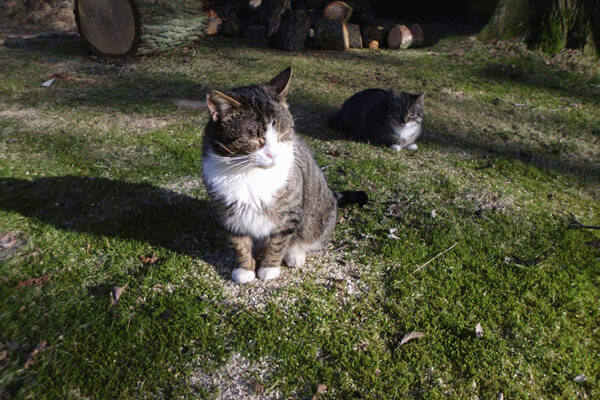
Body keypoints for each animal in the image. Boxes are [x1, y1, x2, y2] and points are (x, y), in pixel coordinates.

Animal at [202, 67, 338, 282]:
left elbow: (277, 243)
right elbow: (240, 244)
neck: (249, 173)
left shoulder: (288, 214)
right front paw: (245, 269)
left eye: (282, 135)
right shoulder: (229, 214)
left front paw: (269, 268)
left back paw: (295, 254)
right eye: (256, 139)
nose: (273, 154)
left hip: (320, 216)